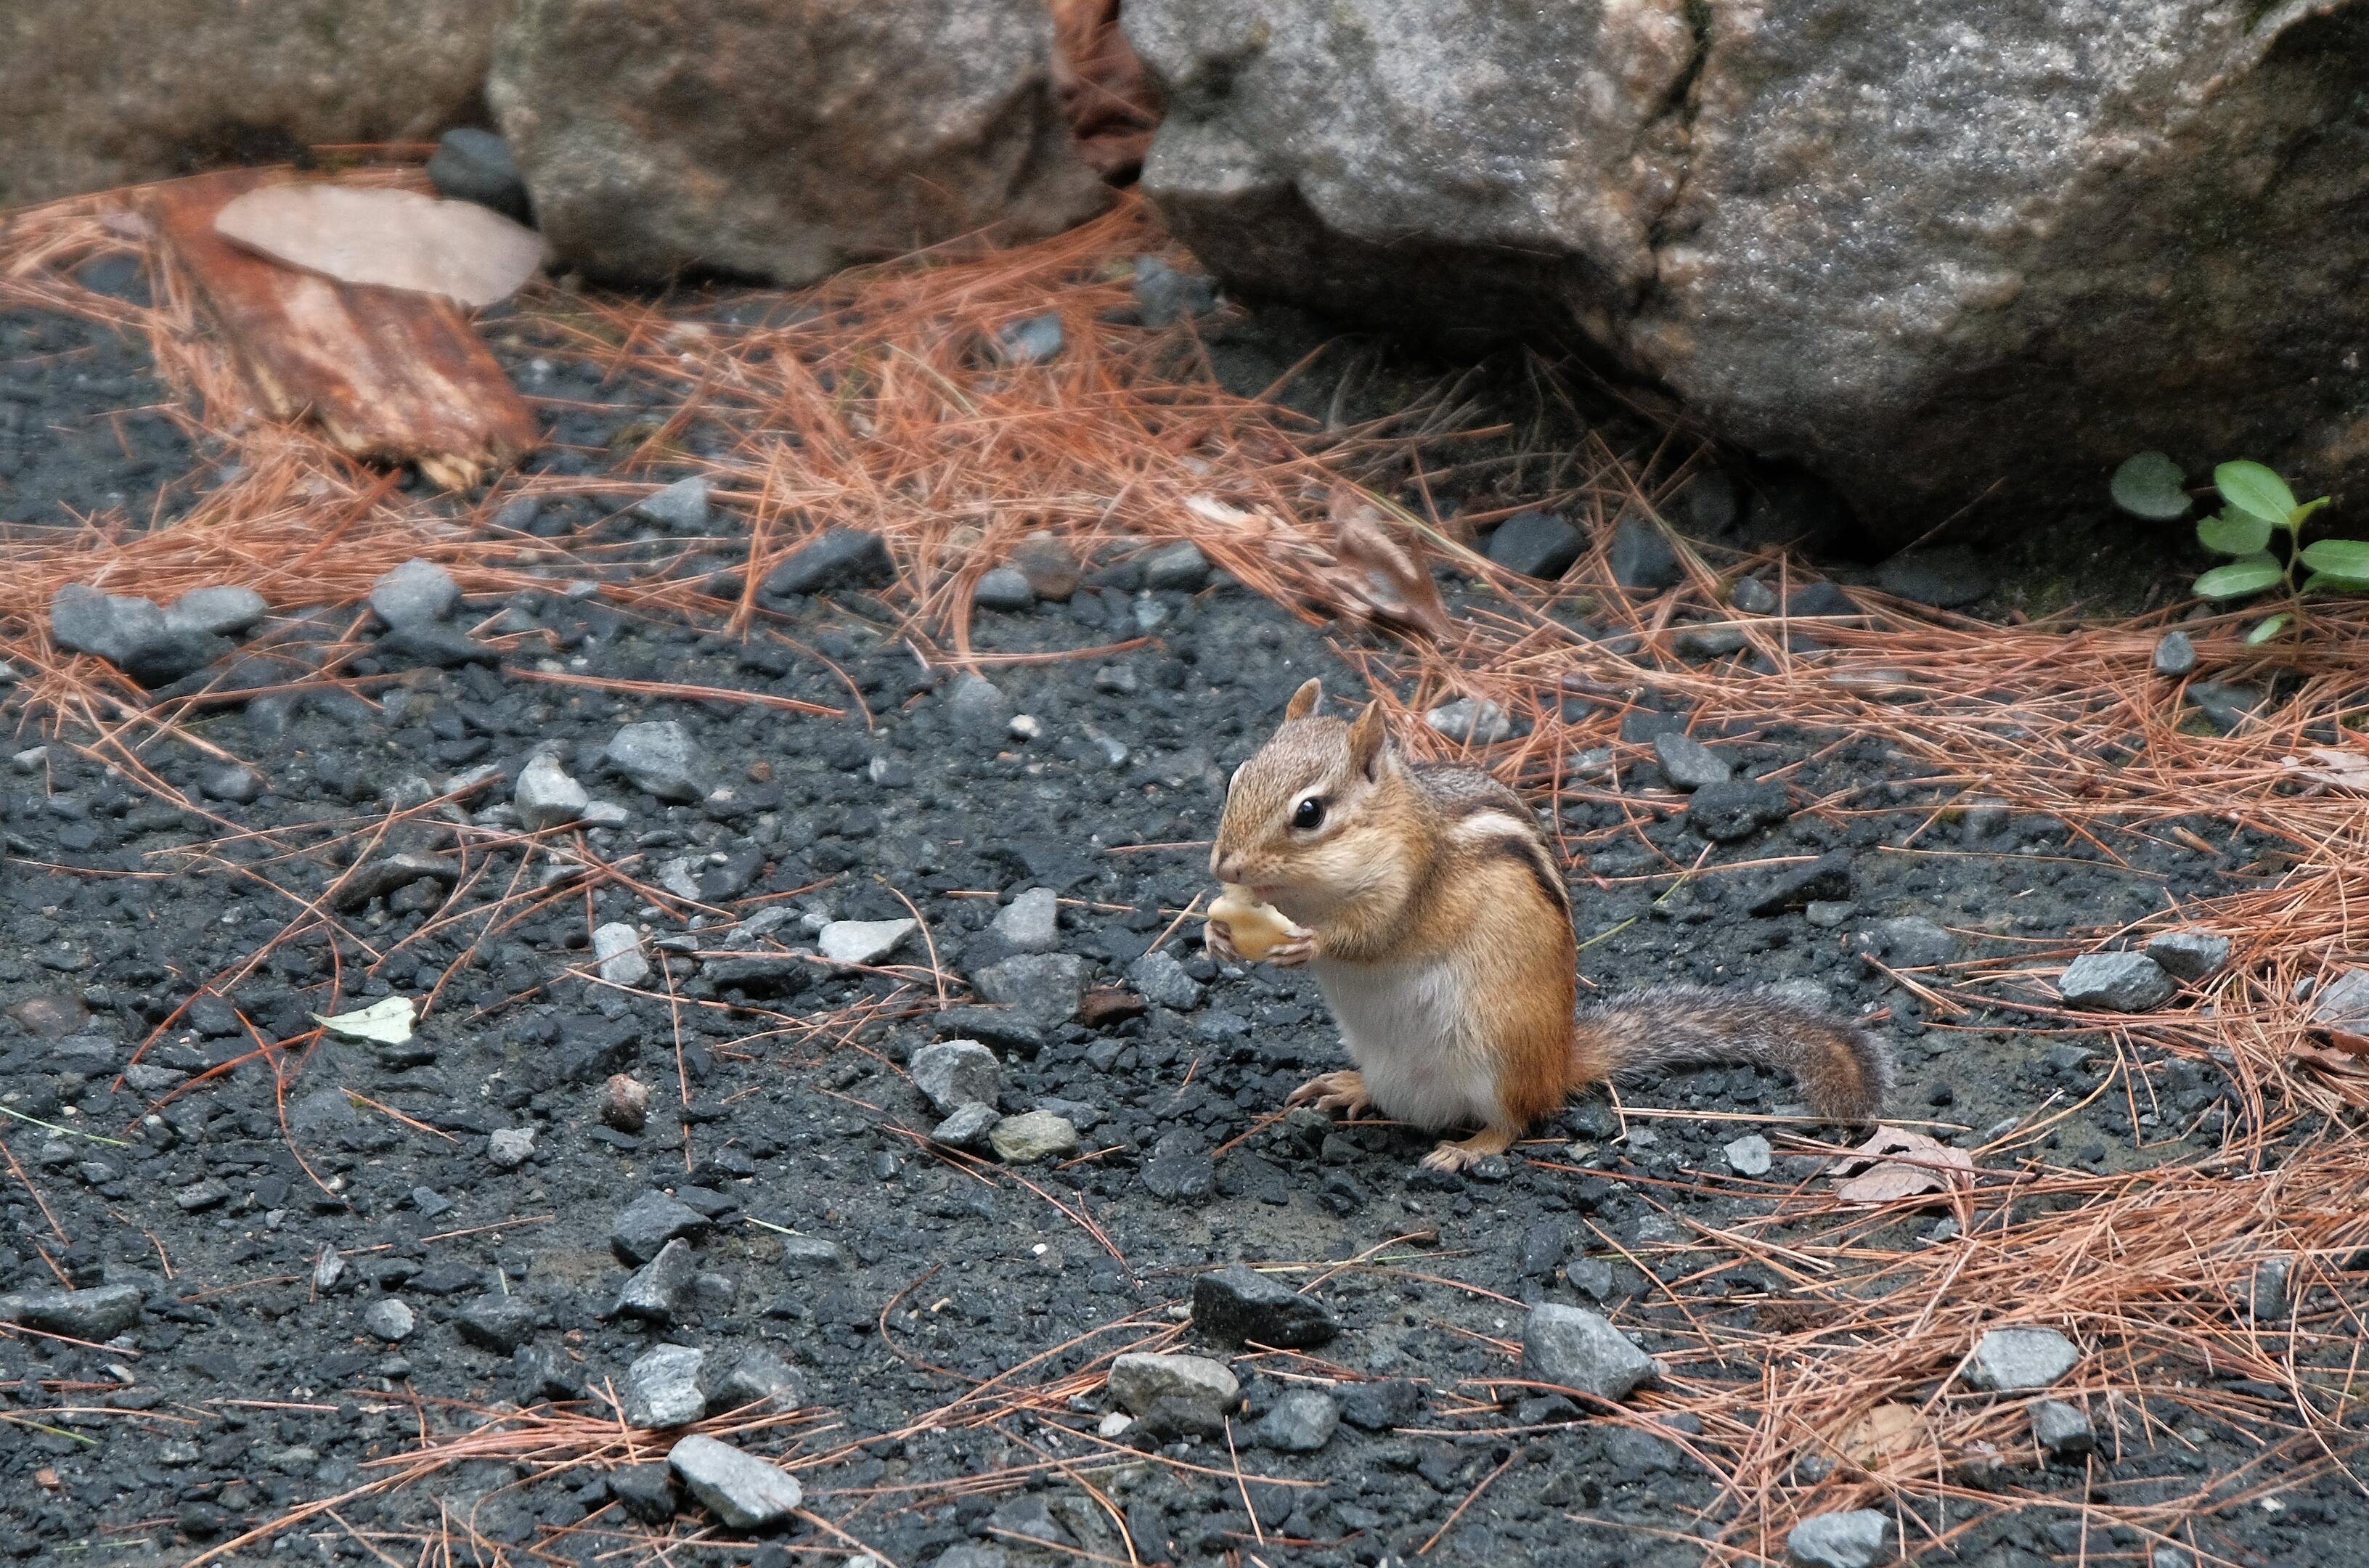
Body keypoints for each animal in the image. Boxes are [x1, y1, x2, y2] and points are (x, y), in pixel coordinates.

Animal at [1206, 678, 1893, 1172]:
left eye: (1309, 813)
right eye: (1234, 777)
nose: (1224, 865)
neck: (1313, 891)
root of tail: (1559, 1061)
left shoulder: (1413, 888)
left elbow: (1375, 936)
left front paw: (1309, 943)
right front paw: (1217, 934)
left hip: (1498, 1054)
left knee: (1518, 1120)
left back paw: (1469, 1149)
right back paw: (1350, 1087)